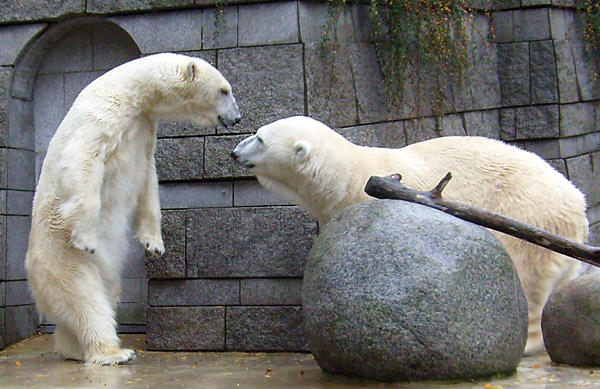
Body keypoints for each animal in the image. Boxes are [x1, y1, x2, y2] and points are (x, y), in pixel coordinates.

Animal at [25, 53, 241, 366]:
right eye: (224, 90)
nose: (237, 117)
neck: (132, 91)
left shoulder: (145, 128)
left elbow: (147, 181)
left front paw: (155, 245)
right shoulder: (104, 113)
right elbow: (83, 159)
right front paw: (87, 237)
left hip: (101, 273)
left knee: (105, 295)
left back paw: (73, 349)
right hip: (60, 257)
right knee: (85, 299)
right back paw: (114, 352)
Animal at [234, 114, 592, 354]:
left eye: (260, 139)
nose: (235, 152)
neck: (345, 176)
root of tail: (578, 203)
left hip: (528, 214)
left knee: (524, 274)